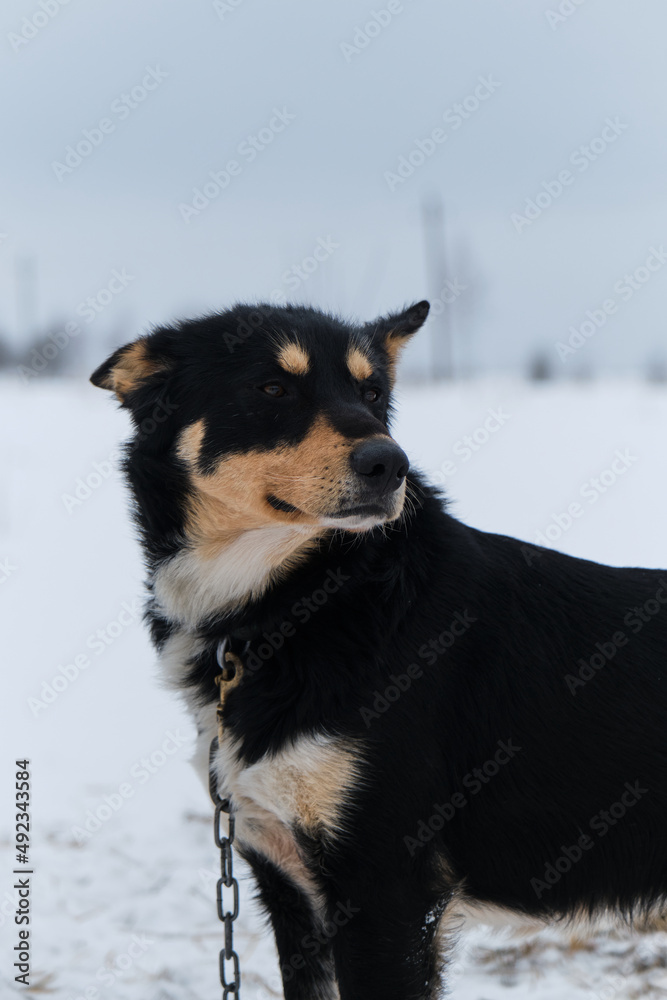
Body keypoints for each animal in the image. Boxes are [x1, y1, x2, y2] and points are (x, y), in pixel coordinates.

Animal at [91, 298, 667, 1000]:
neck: (307, 600)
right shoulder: (290, 890)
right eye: (273, 388)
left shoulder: (387, 890)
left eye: (371, 394)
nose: (390, 464)